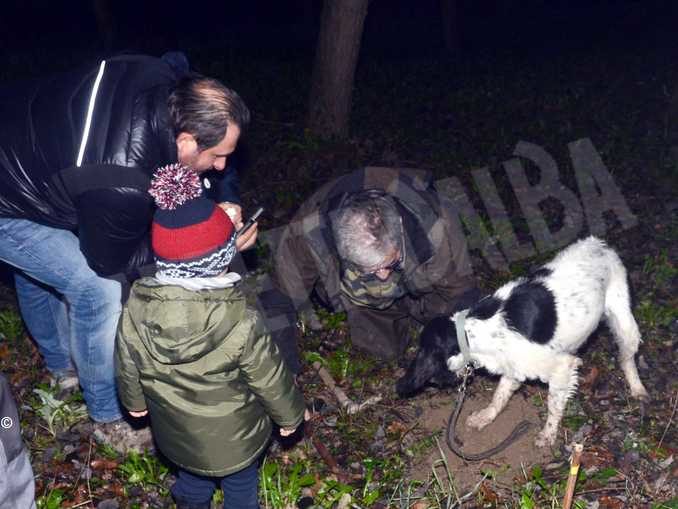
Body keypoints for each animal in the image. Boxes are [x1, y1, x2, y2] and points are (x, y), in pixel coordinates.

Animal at [398, 236, 652, 446]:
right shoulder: (513, 368)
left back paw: (637, 388)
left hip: (625, 324)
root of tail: (599, 243)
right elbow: (499, 396)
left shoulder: (562, 367)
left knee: (626, 359)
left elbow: (553, 406)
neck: (472, 332)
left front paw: (548, 435)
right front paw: (485, 417)